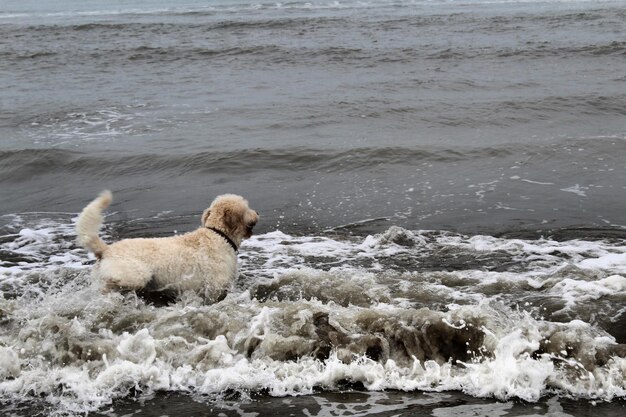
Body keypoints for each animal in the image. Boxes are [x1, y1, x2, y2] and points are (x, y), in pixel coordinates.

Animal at [75, 190, 258, 300]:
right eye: (247, 207)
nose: (257, 212)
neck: (218, 234)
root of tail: (107, 249)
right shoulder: (215, 286)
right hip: (137, 274)